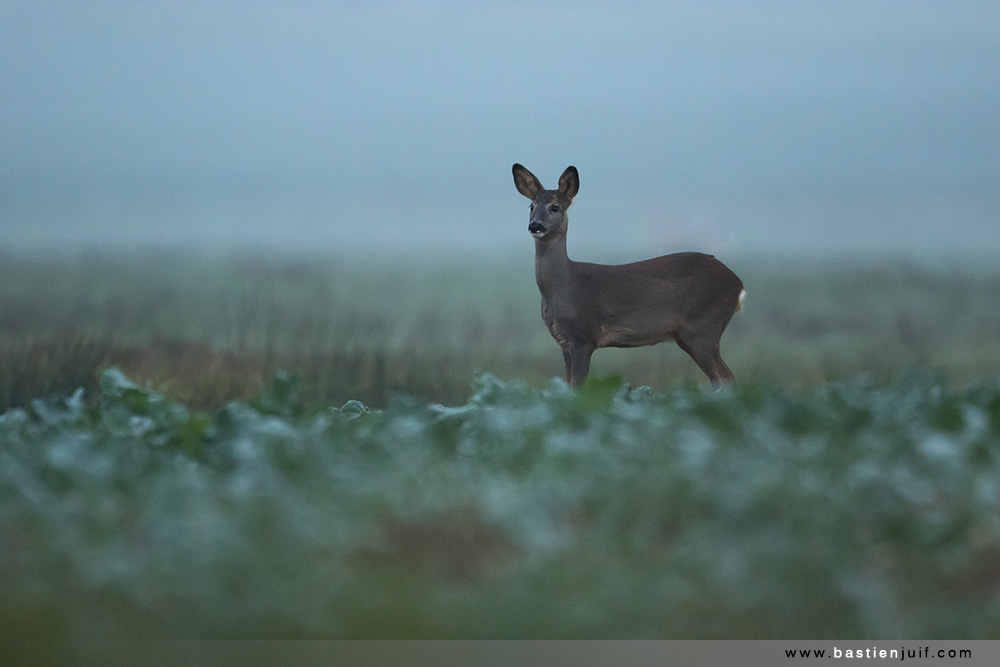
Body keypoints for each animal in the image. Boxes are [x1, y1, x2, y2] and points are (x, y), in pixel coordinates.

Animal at [516, 164, 744, 388]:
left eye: (555, 207)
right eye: (531, 207)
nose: (535, 225)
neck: (564, 287)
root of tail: (738, 284)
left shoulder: (583, 336)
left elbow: (578, 388)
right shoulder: (565, 342)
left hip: (703, 327)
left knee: (726, 378)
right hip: (687, 336)